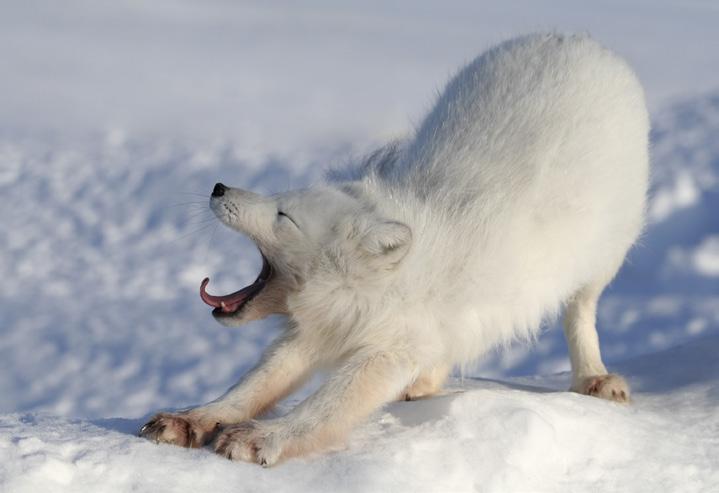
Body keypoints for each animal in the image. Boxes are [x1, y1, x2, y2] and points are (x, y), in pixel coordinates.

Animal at [141, 34, 652, 466]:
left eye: (284, 216)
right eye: (277, 198)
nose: (219, 186)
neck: (369, 287)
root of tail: (576, 39)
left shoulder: (388, 349)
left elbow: (328, 405)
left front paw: (264, 438)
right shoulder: (318, 332)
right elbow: (252, 385)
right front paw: (192, 419)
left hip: (601, 260)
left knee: (580, 312)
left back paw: (593, 377)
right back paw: (425, 385)